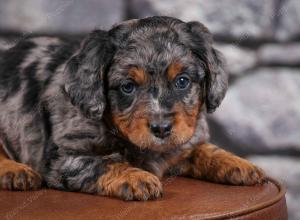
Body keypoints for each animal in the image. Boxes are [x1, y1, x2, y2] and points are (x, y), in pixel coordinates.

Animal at [0, 16, 266, 200]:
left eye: (182, 81)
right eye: (128, 87)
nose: (161, 128)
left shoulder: (184, 143)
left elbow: (205, 149)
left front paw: (239, 164)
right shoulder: (62, 159)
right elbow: (104, 163)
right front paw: (137, 177)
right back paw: (16, 172)